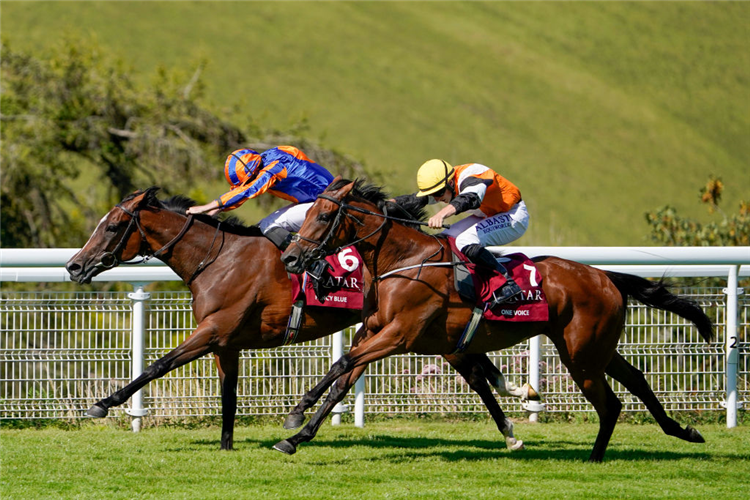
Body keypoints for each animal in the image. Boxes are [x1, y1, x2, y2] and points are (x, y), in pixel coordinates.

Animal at [64, 187, 536, 450]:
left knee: (475, 378)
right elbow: (228, 395)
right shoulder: (226, 342)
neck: (218, 258)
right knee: (477, 375)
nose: (73, 266)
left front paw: (103, 404)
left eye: (111, 227)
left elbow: (159, 364)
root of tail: (453, 263)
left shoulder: (213, 330)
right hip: (429, 335)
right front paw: (227, 446)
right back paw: (513, 419)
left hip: (417, 331)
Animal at [278, 179, 716, 460]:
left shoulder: (400, 334)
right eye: (309, 212)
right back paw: (682, 431)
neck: (404, 262)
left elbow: (342, 364)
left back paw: (595, 457)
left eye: (324, 216)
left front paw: (297, 410)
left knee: (610, 403)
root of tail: (604, 276)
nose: (291, 259)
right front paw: (298, 435)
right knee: (635, 383)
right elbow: (342, 380)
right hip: (597, 350)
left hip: (582, 356)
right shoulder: (374, 332)